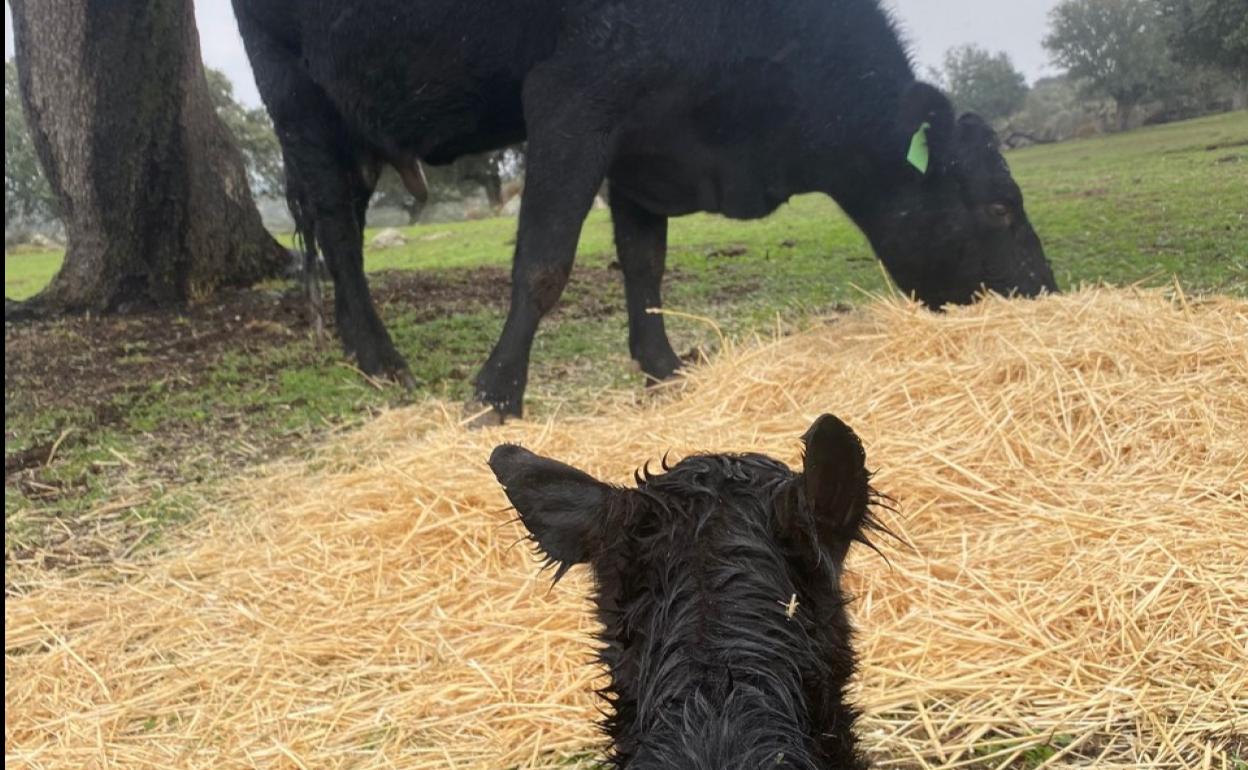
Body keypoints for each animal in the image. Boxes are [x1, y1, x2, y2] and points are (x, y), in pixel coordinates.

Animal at [232, 0, 1053, 419]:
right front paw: (495, 395)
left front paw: (664, 368)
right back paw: (382, 359)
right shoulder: (574, 96)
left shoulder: (641, 145)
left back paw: (355, 347)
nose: (1045, 293)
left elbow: (645, 265)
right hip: (296, 94)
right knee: (338, 230)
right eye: (1001, 207)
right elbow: (544, 264)